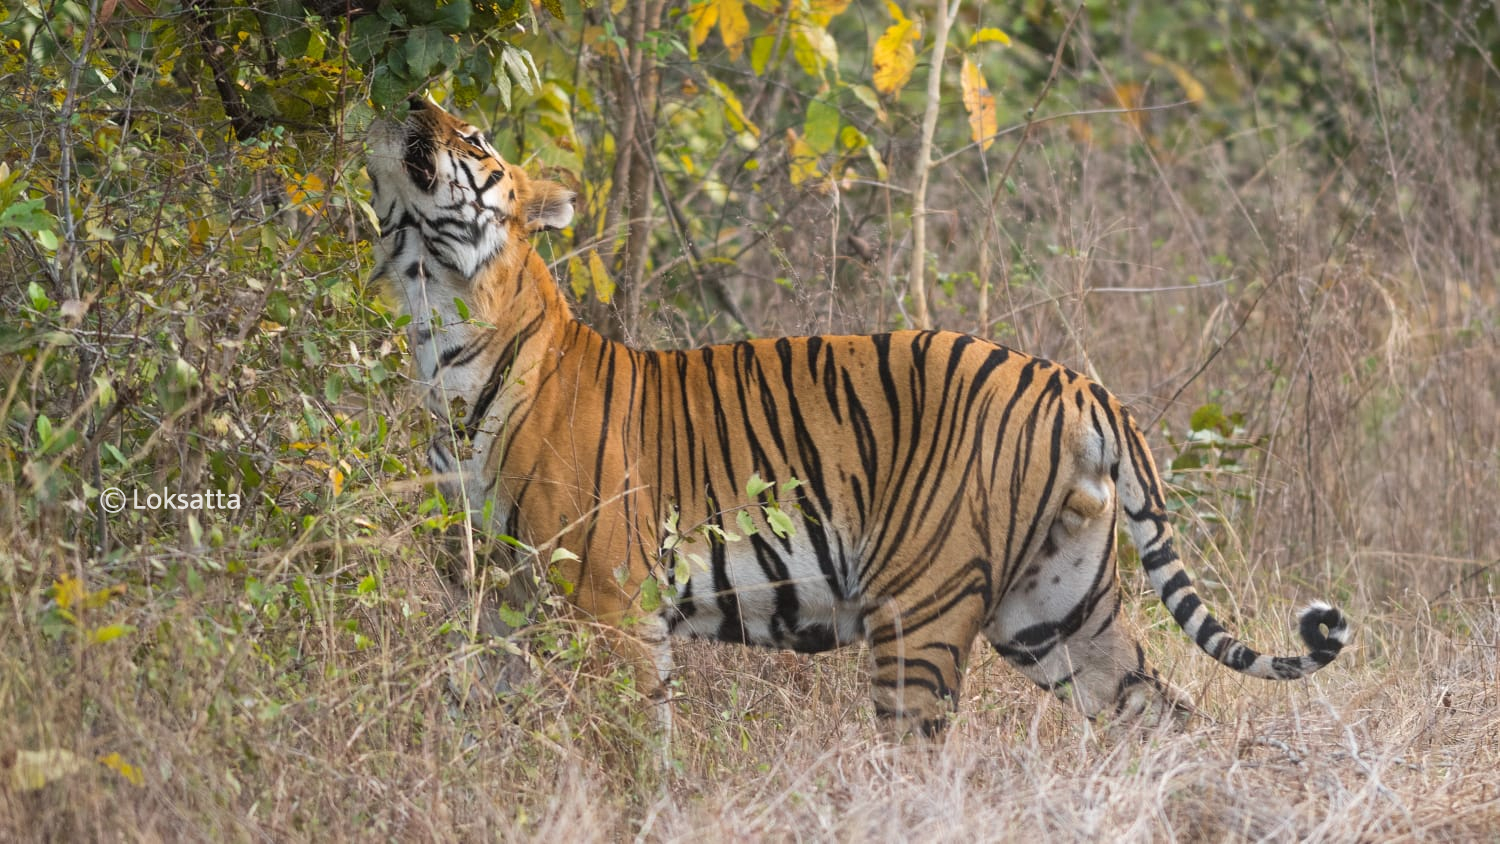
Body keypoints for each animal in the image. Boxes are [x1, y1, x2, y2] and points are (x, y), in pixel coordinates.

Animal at [363, 98, 1350, 740]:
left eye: (475, 135)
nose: (406, 95)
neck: (439, 315)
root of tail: (1079, 383)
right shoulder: (496, 601)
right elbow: (474, 719)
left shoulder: (609, 601)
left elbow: (631, 745)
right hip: (1058, 616)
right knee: (1172, 722)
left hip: (922, 609)